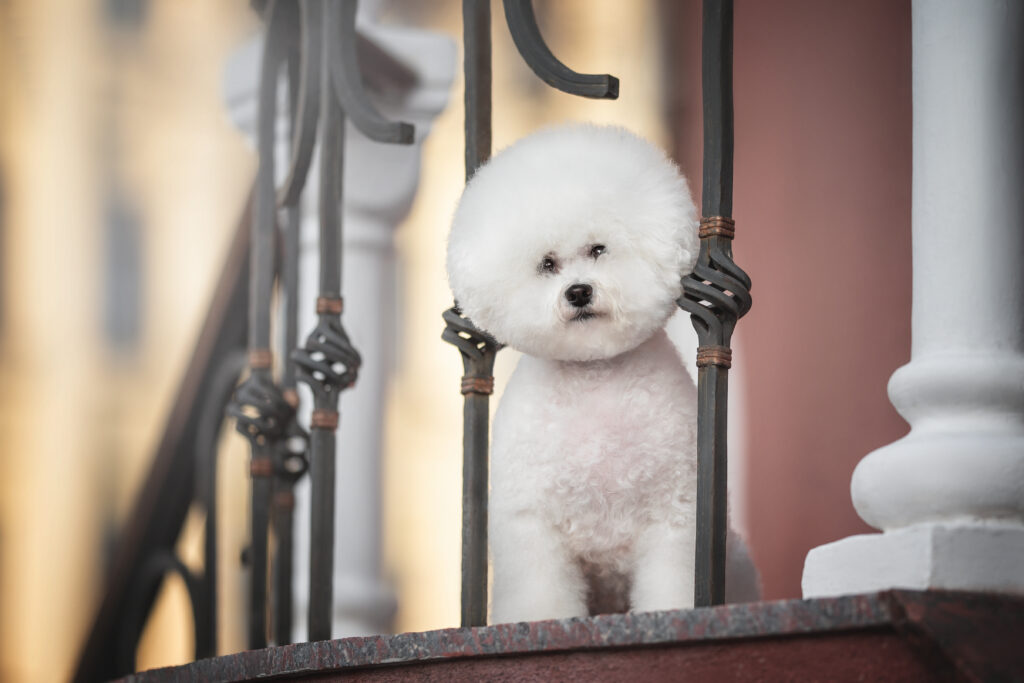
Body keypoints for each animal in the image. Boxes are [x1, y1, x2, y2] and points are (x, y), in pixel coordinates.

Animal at [444, 124, 757, 626]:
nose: (578, 291)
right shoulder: (533, 525)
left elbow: (672, 584)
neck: (594, 377)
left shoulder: (676, 516)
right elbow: (541, 595)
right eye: (547, 263)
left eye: (598, 249)